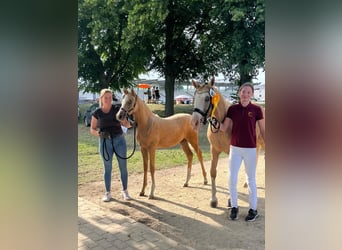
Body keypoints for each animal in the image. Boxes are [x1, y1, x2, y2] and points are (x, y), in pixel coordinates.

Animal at [191, 78, 266, 207]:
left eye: (207, 98)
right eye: (195, 97)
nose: (194, 121)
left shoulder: (231, 151)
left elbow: (231, 175)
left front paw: (231, 200)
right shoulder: (214, 150)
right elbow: (213, 172)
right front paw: (213, 200)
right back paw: (246, 183)